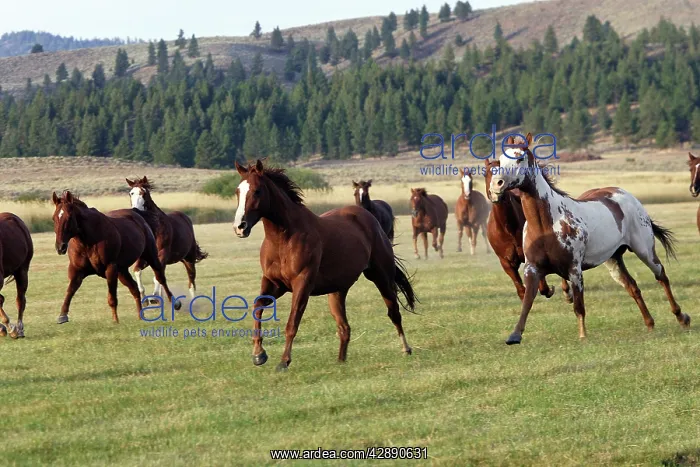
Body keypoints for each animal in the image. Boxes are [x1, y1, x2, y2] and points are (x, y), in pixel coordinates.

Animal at [52, 190, 180, 324]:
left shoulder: (111, 268)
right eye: (54, 218)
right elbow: (70, 290)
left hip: (150, 256)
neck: (88, 241)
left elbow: (112, 297)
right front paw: (62, 315)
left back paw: (174, 303)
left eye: (69, 217)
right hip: (122, 271)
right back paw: (140, 315)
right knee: (134, 287)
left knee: (160, 278)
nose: (60, 247)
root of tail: (138, 216)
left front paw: (115, 320)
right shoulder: (77, 270)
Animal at [232, 160, 417, 371]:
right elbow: (257, 307)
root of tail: (370, 218)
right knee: (344, 327)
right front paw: (258, 354)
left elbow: (292, 323)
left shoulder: (302, 284)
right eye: (237, 191)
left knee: (394, 312)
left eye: (257, 191)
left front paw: (283, 361)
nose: (240, 227)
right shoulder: (274, 284)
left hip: (381, 277)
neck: (283, 239)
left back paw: (406, 348)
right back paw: (340, 361)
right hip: (337, 291)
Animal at [484, 158, 560, 302]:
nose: (496, 191)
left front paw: (549, 290)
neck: (508, 229)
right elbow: (521, 291)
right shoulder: (506, 262)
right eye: (485, 173)